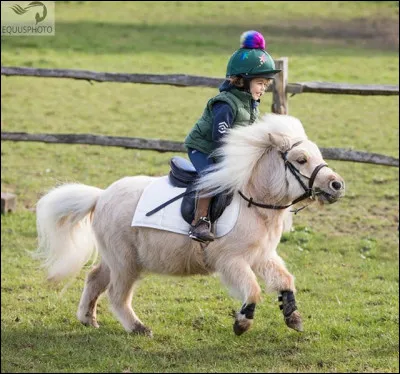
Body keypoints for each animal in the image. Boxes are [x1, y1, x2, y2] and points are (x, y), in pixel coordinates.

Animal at [36, 113, 346, 336]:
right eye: (301, 159)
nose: (337, 185)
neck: (255, 202)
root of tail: (100, 197)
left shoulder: (261, 255)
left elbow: (285, 280)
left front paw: (293, 316)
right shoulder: (231, 260)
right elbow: (253, 289)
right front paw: (242, 322)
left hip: (116, 258)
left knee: (95, 279)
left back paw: (87, 319)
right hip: (126, 261)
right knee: (116, 294)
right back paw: (138, 328)